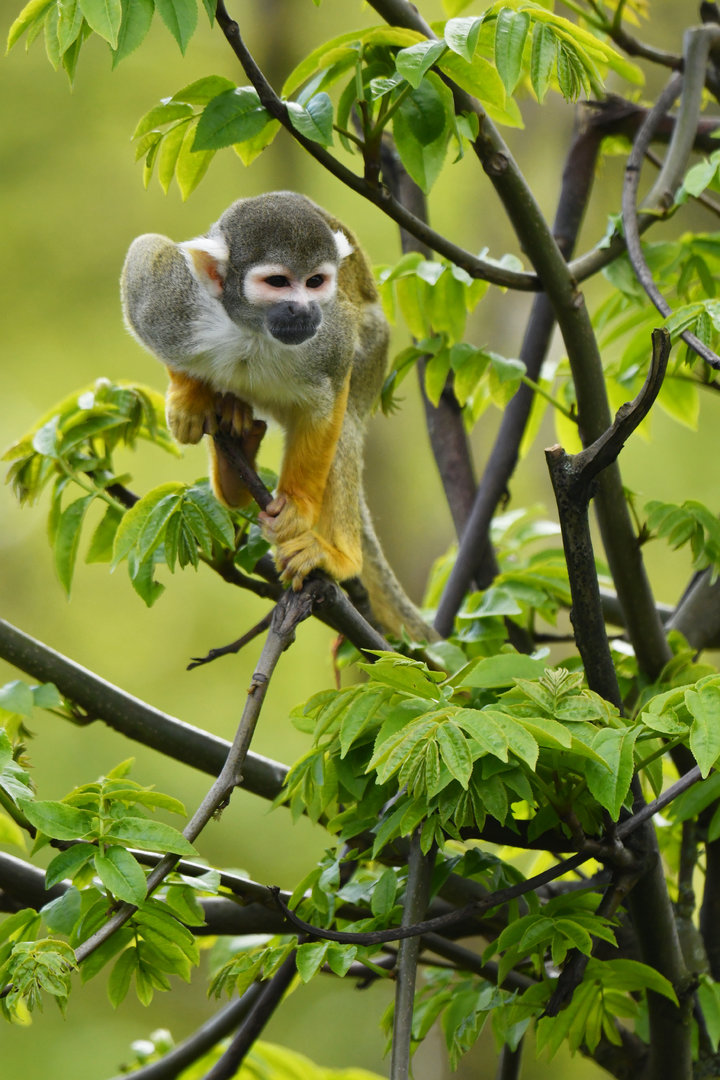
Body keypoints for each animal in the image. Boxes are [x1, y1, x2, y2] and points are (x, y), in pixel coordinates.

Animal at [120, 191, 438, 643]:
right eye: (277, 283)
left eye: (315, 282)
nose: (303, 309)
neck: (251, 331)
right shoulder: (173, 304)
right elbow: (145, 258)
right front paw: (188, 396)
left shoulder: (330, 338)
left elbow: (328, 399)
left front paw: (299, 510)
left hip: (374, 349)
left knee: (346, 423)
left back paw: (339, 556)